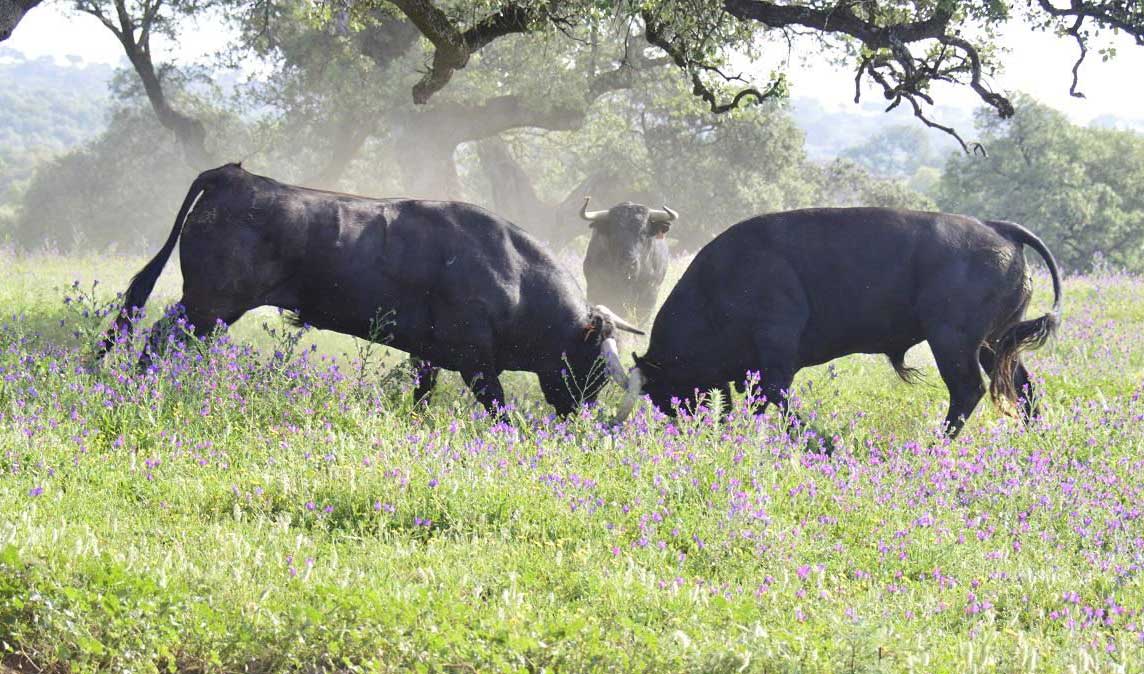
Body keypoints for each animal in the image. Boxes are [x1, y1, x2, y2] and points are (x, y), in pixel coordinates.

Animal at [97, 164, 645, 414]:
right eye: (594, 367)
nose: (579, 417)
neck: (513, 273)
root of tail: (235, 176)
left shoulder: (430, 356)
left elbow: (422, 393)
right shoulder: (475, 362)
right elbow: (498, 408)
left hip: (208, 308)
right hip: (208, 305)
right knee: (158, 340)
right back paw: (140, 389)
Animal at [608, 207, 1061, 439]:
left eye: (669, 388)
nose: (690, 427)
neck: (719, 281)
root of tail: (998, 229)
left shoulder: (776, 349)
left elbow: (775, 395)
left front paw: (821, 442)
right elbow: (765, 399)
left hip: (953, 344)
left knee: (968, 390)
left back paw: (935, 443)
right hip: (993, 346)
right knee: (1022, 388)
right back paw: (1037, 442)